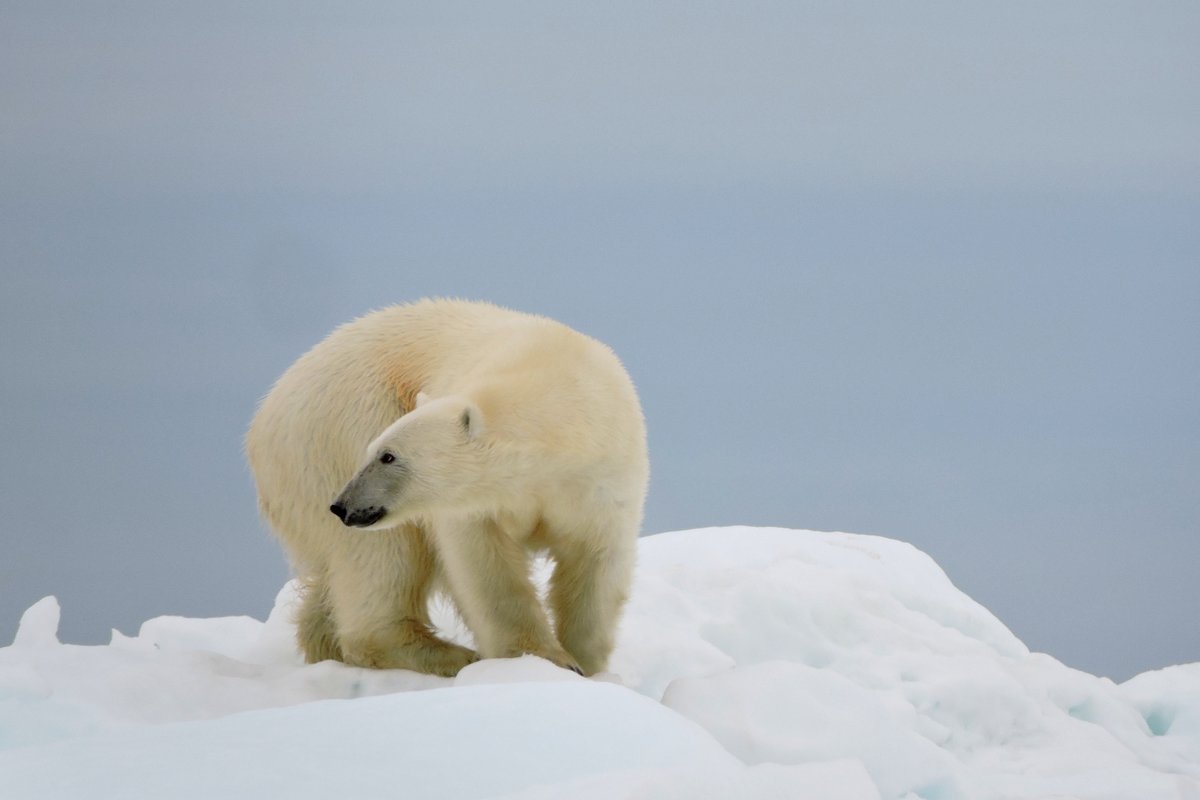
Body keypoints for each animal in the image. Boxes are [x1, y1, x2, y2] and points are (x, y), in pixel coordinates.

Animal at [242, 299, 648, 676]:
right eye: (376, 451)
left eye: (388, 456)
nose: (342, 506)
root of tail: (263, 417)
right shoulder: (475, 507)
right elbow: (485, 569)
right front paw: (541, 658)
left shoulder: (602, 481)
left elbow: (595, 562)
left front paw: (585, 664)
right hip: (344, 424)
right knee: (384, 556)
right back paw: (449, 655)